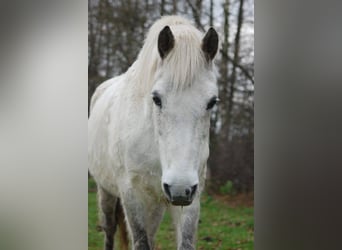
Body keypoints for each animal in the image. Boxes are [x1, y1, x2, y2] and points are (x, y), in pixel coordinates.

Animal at [89, 16, 219, 250]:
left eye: (212, 102)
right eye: (156, 98)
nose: (179, 187)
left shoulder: (191, 197)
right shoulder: (132, 194)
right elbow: (141, 241)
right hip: (106, 190)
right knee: (110, 229)